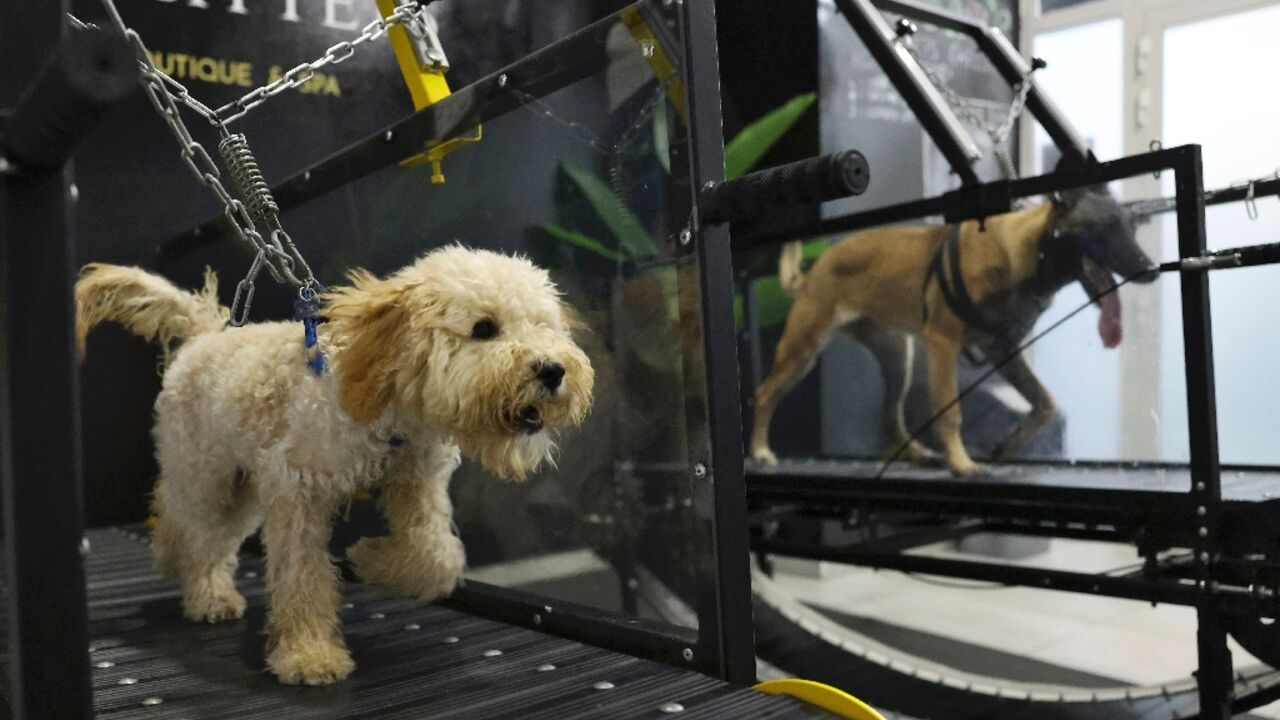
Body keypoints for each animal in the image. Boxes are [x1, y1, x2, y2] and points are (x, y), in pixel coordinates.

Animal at [77, 244, 596, 681]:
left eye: (544, 326)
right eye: (484, 328)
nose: (553, 370)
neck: (390, 410)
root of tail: (204, 336)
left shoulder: (418, 480)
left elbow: (437, 558)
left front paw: (371, 560)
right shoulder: (295, 488)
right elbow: (302, 575)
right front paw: (309, 655)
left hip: (242, 487)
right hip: (207, 474)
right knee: (191, 528)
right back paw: (202, 588)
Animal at [747, 184, 1162, 474]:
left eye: (1132, 229)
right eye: (1104, 229)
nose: (1152, 269)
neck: (1027, 254)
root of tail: (815, 269)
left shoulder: (1002, 351)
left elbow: (1045, 403)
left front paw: (1005, 447)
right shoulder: (944, 343)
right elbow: (951, 413)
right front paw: (962, 465)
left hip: (898, 356)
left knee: (890, 418)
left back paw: (918, 455)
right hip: (803, 349)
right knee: (765, 393)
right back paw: (760, 451)